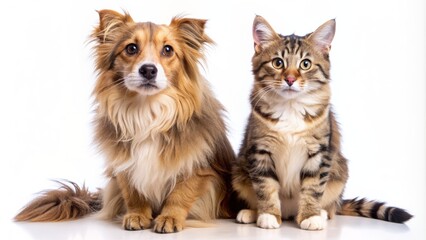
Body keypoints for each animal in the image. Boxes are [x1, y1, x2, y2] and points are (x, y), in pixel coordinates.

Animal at [14, 9, 240, 232]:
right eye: (131, 48)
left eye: (168, 50)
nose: (148, 69)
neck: (147, 110)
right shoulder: (124, 166)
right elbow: (133, 193)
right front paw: (137, 215)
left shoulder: (198, 168)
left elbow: (180, 194)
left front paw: (169, 217)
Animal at [230, 15, 412, 230]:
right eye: (278, 62)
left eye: (305, 64)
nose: (290, 79)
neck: (290, 107)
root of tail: (289, 212)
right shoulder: (260, 150)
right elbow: (265, 187)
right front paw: (268, 215)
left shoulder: (319, 152)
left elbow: (313, 187)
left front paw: (310, 216)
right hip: (239, 171)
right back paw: (251, 212)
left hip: (339, 174)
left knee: (332, 207)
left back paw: (322, 213)